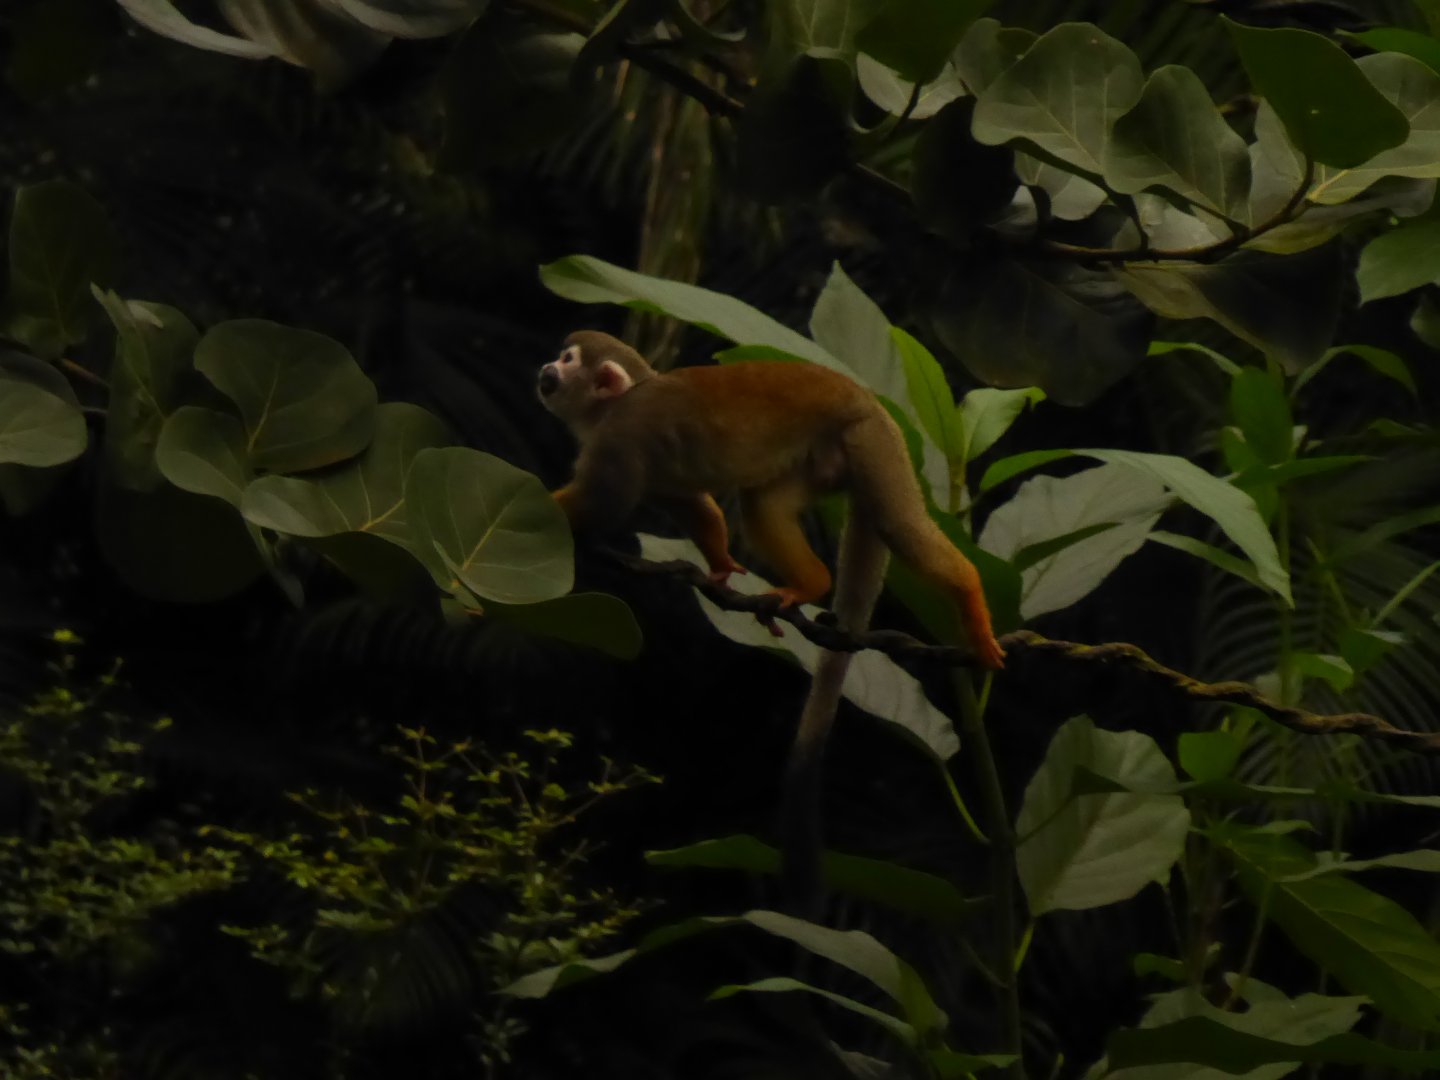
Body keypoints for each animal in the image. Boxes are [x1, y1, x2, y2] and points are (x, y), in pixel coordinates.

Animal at [537, 330, 1004, 914]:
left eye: (569, 359)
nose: (546, 368)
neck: (617, 404)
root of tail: (869, 401)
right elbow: (696, 504)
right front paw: (719, 562)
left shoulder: (620, 438)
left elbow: (604, 503)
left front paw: (533, 499)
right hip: (826, 457)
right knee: (765, 503)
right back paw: (810, 584)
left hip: (871, 442)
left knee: (901, 528)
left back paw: (971, 598)